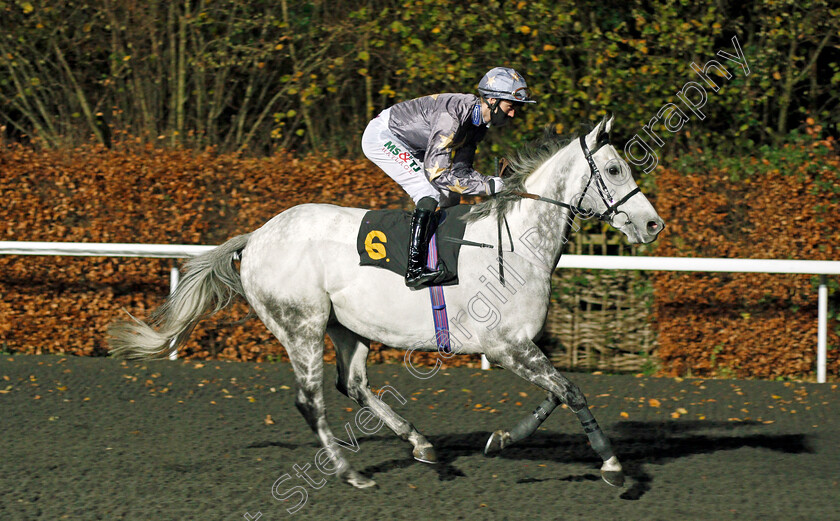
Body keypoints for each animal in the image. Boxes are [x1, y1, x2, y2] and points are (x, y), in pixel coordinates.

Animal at [110, 117, 664, 488]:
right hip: (301, 325)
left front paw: (501, 439)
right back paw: (350, 473)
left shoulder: (520, 345)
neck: (517, 243)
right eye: (613, 168)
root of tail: (258, 235)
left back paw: (421, 445)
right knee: (311, 400)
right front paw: (613, 465)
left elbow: (556, 394)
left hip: (347, 328)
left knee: (352, 385)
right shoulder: (506, 345)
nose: (653, 223)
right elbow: (571, 391)